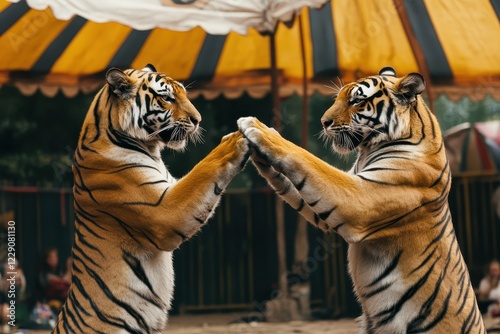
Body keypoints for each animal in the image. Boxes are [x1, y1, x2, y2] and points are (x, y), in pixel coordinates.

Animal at [53, 64, 249, 332]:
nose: (198, 120)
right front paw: (234, 140)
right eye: (167, 98)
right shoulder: (163, 212)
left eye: (183, 93)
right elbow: (204, 169)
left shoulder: (172, 186)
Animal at [236, 66, 486, 332]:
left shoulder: (359, 199)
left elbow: (306, 159)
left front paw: (257, 128)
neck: (368, 149)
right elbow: (296, 183)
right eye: (338, 97)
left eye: (356, 101)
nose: (324, 122)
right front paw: (259, 152)